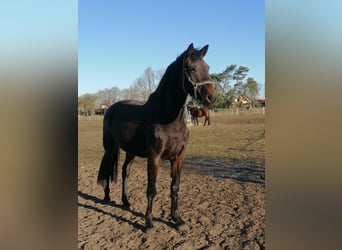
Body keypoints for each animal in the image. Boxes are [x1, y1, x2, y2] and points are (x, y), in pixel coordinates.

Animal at [96, 43, 216, 230]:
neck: (168, 120)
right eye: (192, 68)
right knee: (108, 168)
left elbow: (175, 187)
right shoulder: (154, 158)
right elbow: (151, 190)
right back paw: (107, 197)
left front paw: (177, 219)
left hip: (131, 152)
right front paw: (148, 222)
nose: (212, 97)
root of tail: (110, 109)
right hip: (110, 148)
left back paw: (126, 201)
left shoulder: (179, 157)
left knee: (125, 171)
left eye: (208, 67)